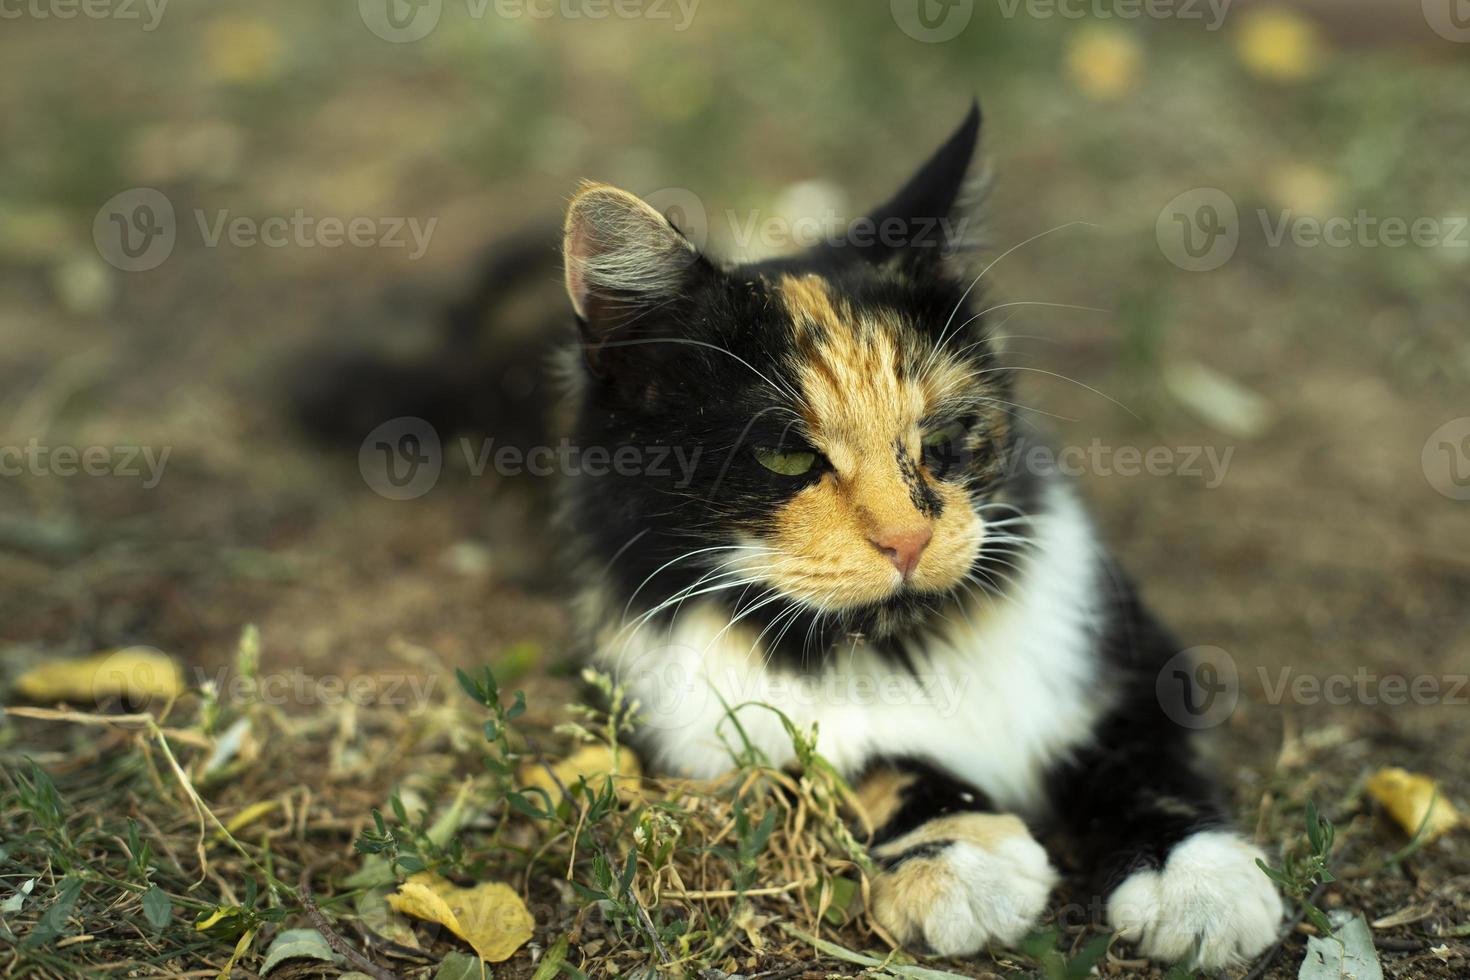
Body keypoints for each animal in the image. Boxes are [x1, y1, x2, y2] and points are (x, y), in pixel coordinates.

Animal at [555, 103, 1281, 969]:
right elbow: (865, 760)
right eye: (784, 455)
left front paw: (1197, 883)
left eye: (941, 438)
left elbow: (1147, 758)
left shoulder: (1120, 645)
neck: (908, 644)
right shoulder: (710, 725)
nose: (907, 541)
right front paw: (962, 860)